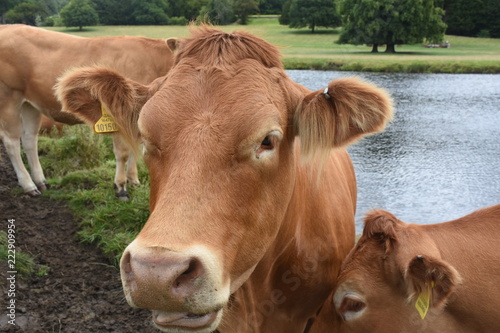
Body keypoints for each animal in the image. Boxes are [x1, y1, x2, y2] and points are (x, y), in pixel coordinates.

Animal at [0, 24, 174, 198]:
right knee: (12, 142)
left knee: (29, 139)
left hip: (30, 105)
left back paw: (41, 182)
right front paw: (121, 187)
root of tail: (8, 26)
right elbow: (123, 153)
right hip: (9, 98)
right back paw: (28, 185)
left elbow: (135, 148)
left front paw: (133, 180)